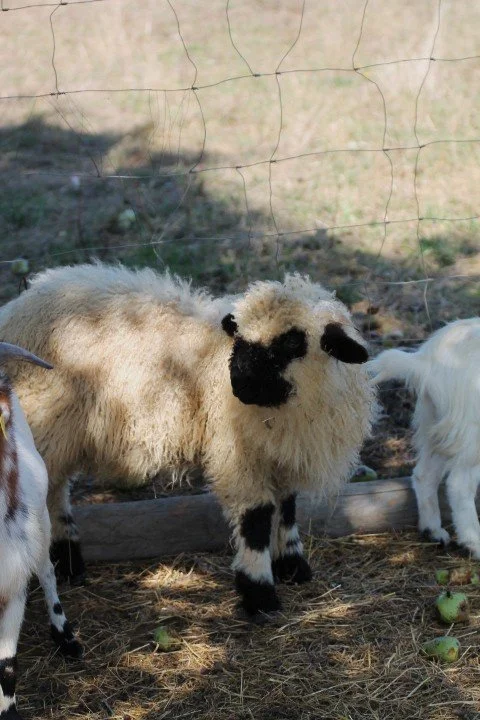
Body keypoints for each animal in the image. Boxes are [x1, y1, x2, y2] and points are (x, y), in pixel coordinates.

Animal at [0, 262, 375, 615]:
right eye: (239, 338)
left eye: (293, 343)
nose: (239, 381)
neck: (287, 407)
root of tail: (18, 306)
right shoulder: (237, 455)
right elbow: (256, 518)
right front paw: (259, 593)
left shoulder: (280, 453)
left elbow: (288, 507)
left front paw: (293, 565)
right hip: (45, 423)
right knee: (49, 492)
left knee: (54, 490)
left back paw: (68, 561)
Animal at [368, 318, 480, 558]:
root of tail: (425, 363)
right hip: (471, 431)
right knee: (459, 484)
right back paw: (474, 543)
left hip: (438, 426)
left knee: (424, 474)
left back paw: (432, 530)